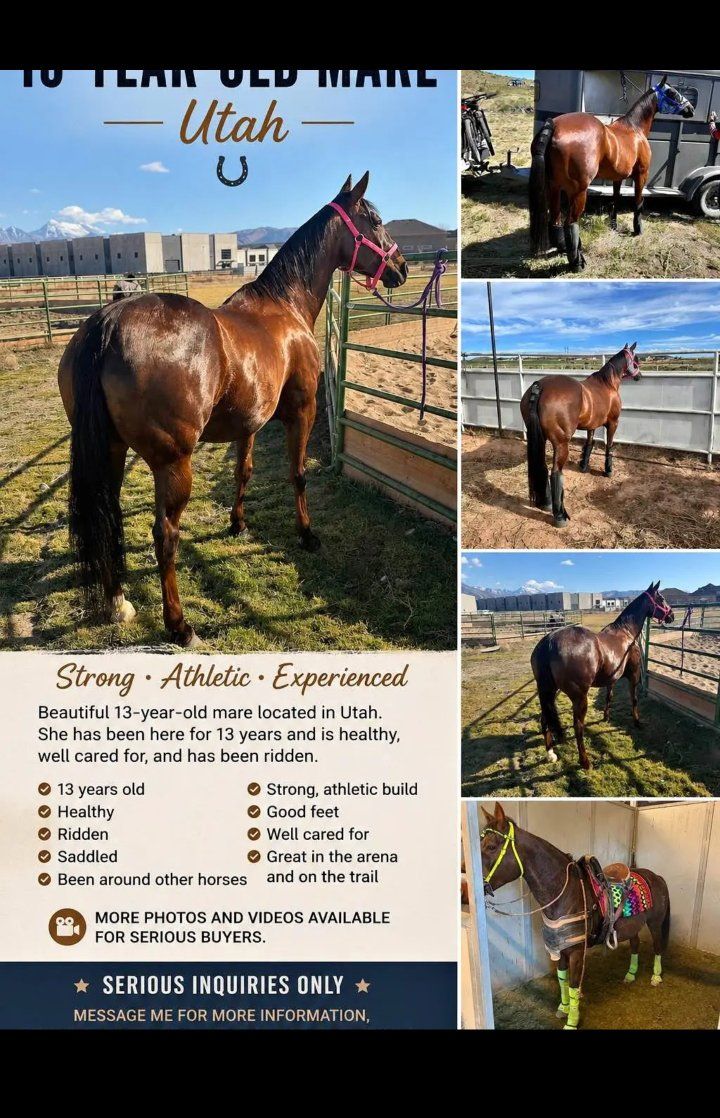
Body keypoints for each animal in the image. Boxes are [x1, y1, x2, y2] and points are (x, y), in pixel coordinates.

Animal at [58, 173, 408, 646]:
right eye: (375, 219)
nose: (401, 267)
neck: (285, 305)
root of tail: (107, 323)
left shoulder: (249, 423)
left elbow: (244, 471)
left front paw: (238, 524)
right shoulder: (303, 411)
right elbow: (298, 474)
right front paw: (307, 534)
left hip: (109, 453)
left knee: (107, 515)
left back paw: (118, 602)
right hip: (173, 462)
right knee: (165, 535)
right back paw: (179, 625)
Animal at [479, 802, 671, 1030]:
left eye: (491, 847)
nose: (465, 885)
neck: (566, 894)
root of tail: (656, 876)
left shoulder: (577, 952)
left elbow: (572, 985)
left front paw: (572, 1021)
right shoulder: (559, 949)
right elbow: (562, 980)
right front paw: (563, 1009)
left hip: (655, 923)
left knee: (658, 946)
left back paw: (656, 977)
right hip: (633, 925)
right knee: (635, 944)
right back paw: (631, 974)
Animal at [520, 343, 641, 528]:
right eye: (636, 359)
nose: (639, 376)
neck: (608, 384)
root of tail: (539, 386)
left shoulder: (592, 425)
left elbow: (589, 444)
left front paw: (584, 466)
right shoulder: (613, 423)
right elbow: (609, 446)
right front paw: (608, 470)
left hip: (541, 439)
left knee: (543, 467)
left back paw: (546, 502)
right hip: (561, 444)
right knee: (556, 473)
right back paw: (559, 516)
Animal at [529, 75, 694, 271]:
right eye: (672, 92)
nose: (691, 108)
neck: (634, 128)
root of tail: (554, 125)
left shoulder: (618, 178)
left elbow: (615, 198)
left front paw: (614, 225)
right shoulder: (642, 175)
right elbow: (638, 201)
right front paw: (638, 229)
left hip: (554, 187)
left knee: (555, 220)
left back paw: (563, 248)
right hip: (577, 192)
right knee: (571, 223)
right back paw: (577, 262)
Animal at [530, 582, 674, 771]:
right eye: (661, 598)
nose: (671, 615)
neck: (626, 632)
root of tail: (549, 641)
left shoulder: (611, 678)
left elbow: (609, 696)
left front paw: (606, 717)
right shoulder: (634, 676)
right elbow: (634, 699)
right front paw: (637, 722)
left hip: (549, 692)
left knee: (544, 718)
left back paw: (551, 754)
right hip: (579, 697)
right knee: (578, 726)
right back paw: (585, 762)